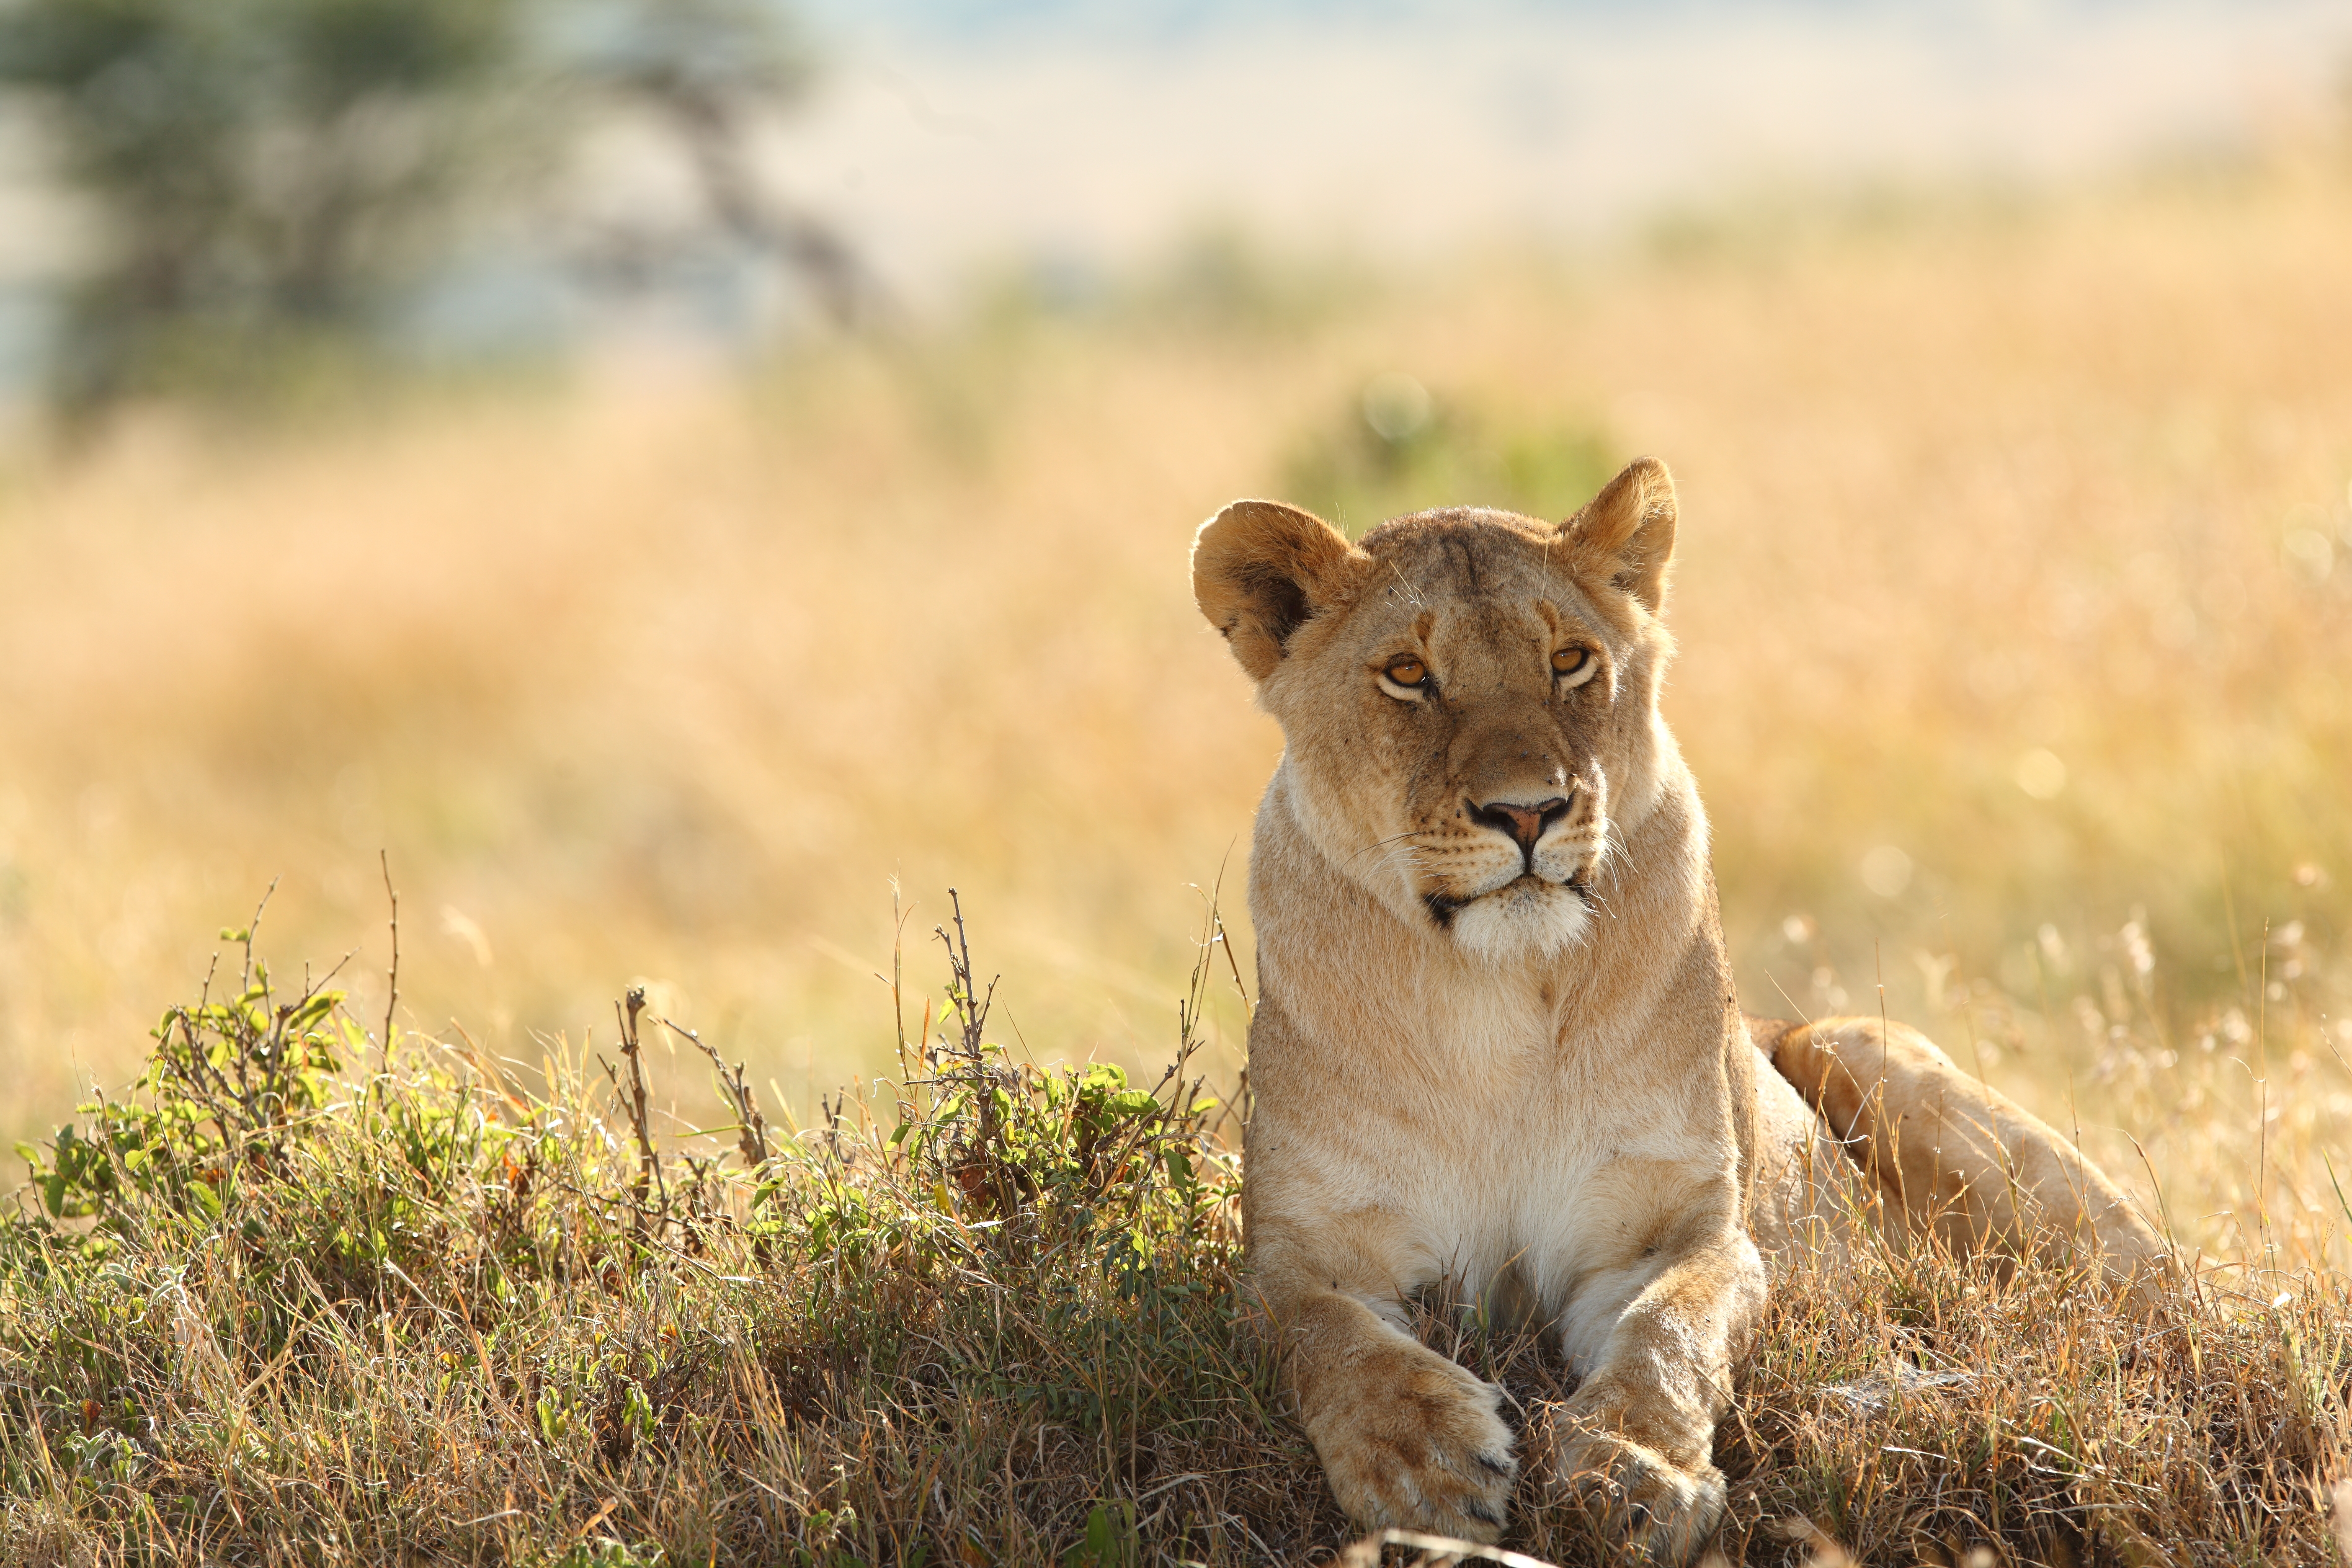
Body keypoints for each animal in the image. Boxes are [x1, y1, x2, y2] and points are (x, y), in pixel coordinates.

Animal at [1190, 458, 2172, 1560]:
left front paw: (1634, 1474)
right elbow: (1325, 1335)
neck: (1491, 994)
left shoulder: (1677, 1228)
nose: (1527, 811)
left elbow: (1668, 1330)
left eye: (1570, 661)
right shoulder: (1304, 1251)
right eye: (1407, 673)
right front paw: (1423, 1466)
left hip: (1859, 1048)